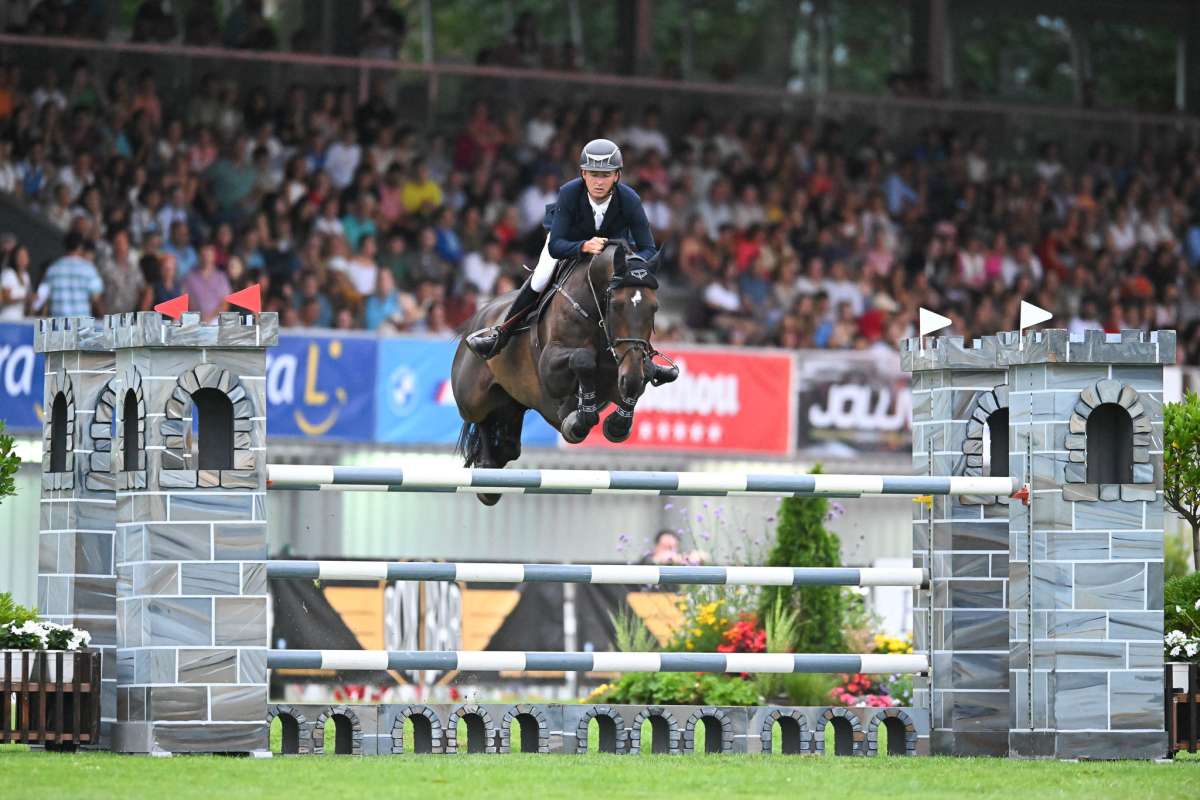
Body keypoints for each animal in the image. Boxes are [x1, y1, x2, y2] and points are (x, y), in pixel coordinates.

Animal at [453, 242, 672, 506]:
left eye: (654, 307)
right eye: (617, 305)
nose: (629, 373)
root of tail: (480, 314)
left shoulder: (626, 370)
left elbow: (642, 377)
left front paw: (616, 424)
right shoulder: (550, 369)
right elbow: (583, 360)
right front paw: (578, 420)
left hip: (514, 402)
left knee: (508, 443)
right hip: (472, 399)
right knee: (481, 418)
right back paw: (487, 473)